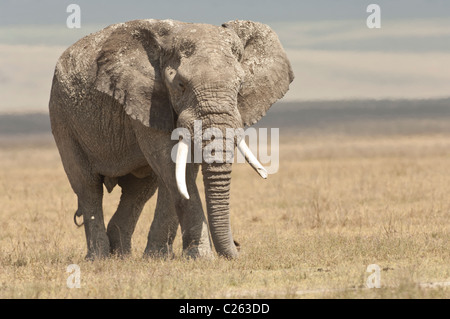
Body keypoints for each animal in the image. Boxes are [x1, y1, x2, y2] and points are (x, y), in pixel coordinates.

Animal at [49, 18, 294, 262]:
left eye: (240, 86)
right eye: (181, 85)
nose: (238, 246)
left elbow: (180, 172)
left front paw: (158, 258)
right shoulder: (146, 99)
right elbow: (173, 165)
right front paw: (201, 258)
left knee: (139, 191)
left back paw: (121, 255)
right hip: (62, 116)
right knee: (88, 185)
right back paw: (99, 257)